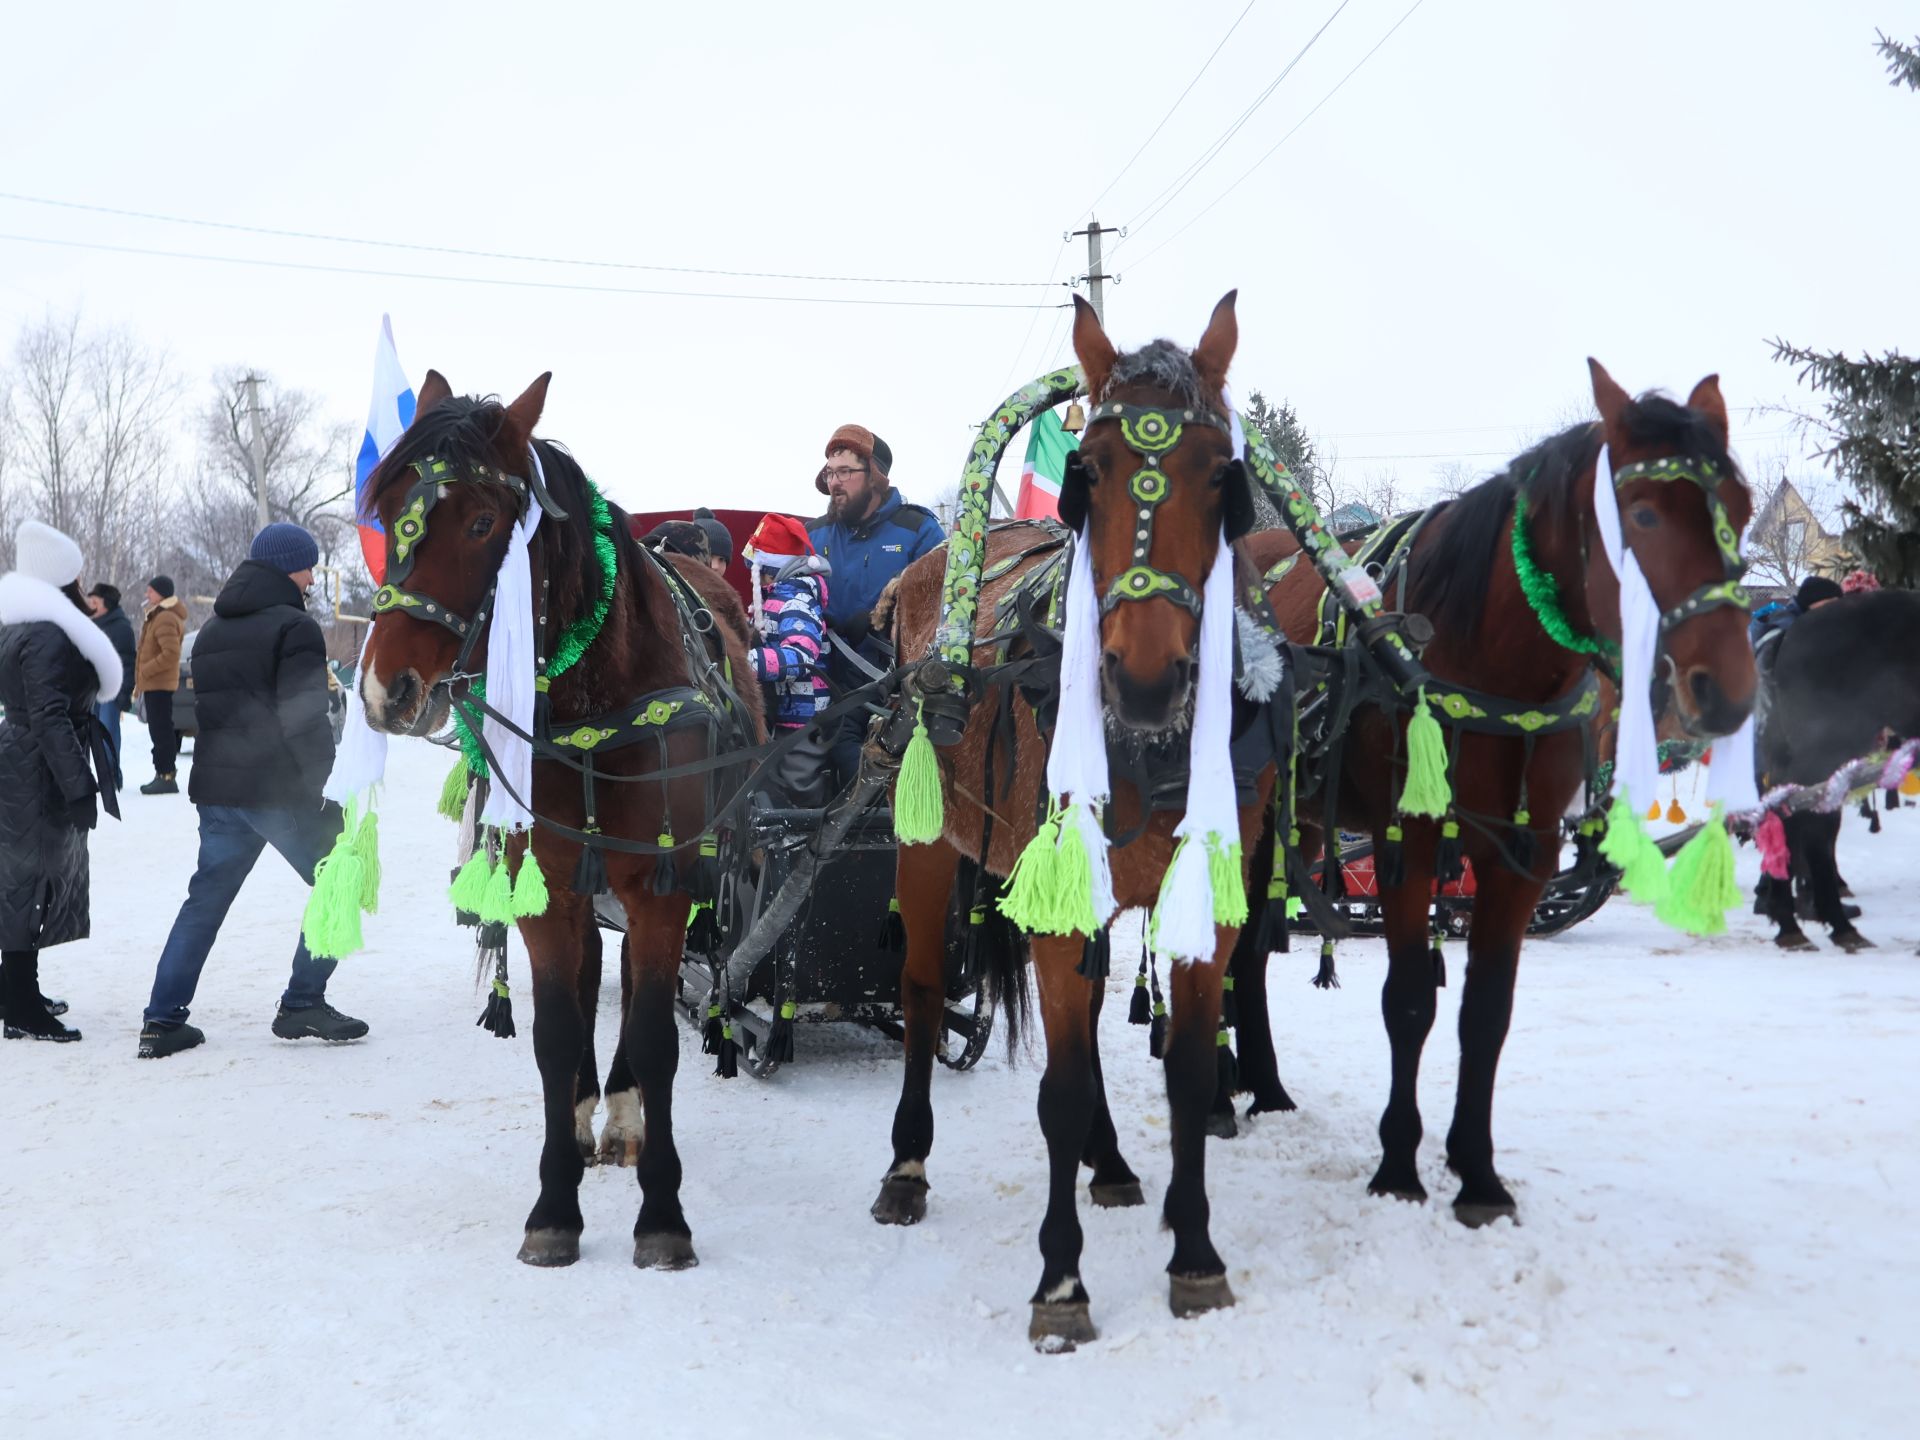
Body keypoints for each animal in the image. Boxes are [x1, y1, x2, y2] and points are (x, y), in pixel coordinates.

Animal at [357, 374, 760, 1274]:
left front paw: (662, 1215)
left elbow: (654, 1034)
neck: (591, 703)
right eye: (389, 510)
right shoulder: (543, 884)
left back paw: (624, 1119)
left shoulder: (659, 884)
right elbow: (555, 1031)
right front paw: (553, 1205)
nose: (385, 689)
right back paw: (583, 1122)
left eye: (481, 523)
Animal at [875, 293, 1267, 1351]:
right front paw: (1061, 1281)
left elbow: (1184, 1075)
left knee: (1085, 1025)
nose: (1145, 681)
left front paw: (1196, 1253)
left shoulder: (1203, 908)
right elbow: (1058, 1089)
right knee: (923, 990)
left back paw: (1116, 1165)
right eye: (1086, 472)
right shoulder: (1054, 901)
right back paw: (906, 1166)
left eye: (1220, 474)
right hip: (927, 845)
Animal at [1244, 362, 1758, 1228]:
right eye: (1643, 513)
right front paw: (1398, 1166)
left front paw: (1476, 1173)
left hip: (1301, 825)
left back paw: (1260, 1085)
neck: (1487, 654)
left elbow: (1487, 1011)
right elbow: (1409, 1000)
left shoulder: (1525, 849)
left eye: (1742, 510)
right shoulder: (1411, 839)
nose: (1725, 691)